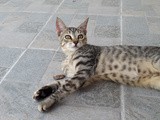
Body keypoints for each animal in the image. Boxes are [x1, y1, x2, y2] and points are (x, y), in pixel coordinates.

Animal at [32, 16, 160, 111]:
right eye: (68, 36)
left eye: (80, 36)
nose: (75, 42)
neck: (70, 56)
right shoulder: (82, 78)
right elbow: (59, 82)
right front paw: (42, 92)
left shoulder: (83, 72)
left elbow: (64, 87)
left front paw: (47, 101)